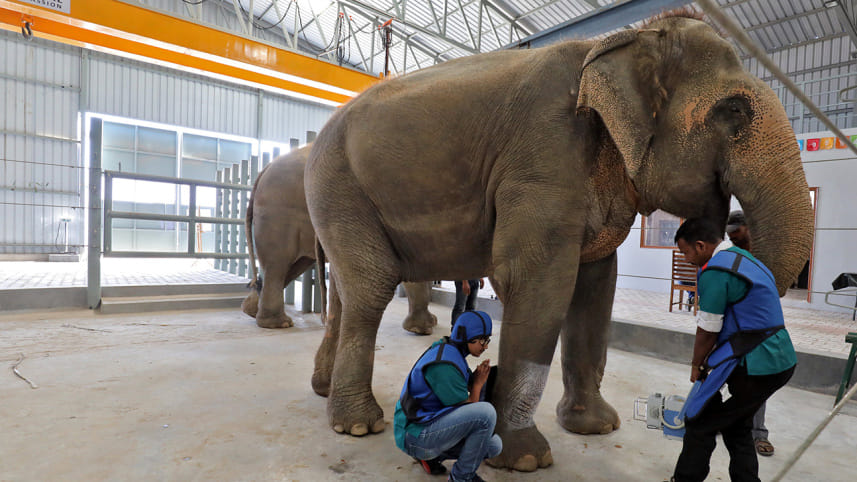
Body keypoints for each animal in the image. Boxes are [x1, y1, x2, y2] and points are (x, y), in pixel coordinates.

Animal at [241, 146, 437, 333]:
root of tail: (265, 170)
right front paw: (424, 329)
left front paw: (429, 324)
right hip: (278, 214)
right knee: (277, 265)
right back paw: (278, 324)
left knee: (294, 265)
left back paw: (251, 311)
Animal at [304, 11, 813, 472]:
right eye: (736, 110)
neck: (625, 40)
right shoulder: (544, 153)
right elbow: (535, 282)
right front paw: (526, 460)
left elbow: (596, 288)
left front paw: (597, 428)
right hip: (338, 187)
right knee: (370, 288)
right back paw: (357, 426)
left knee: (346, 293)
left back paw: (324, 392)